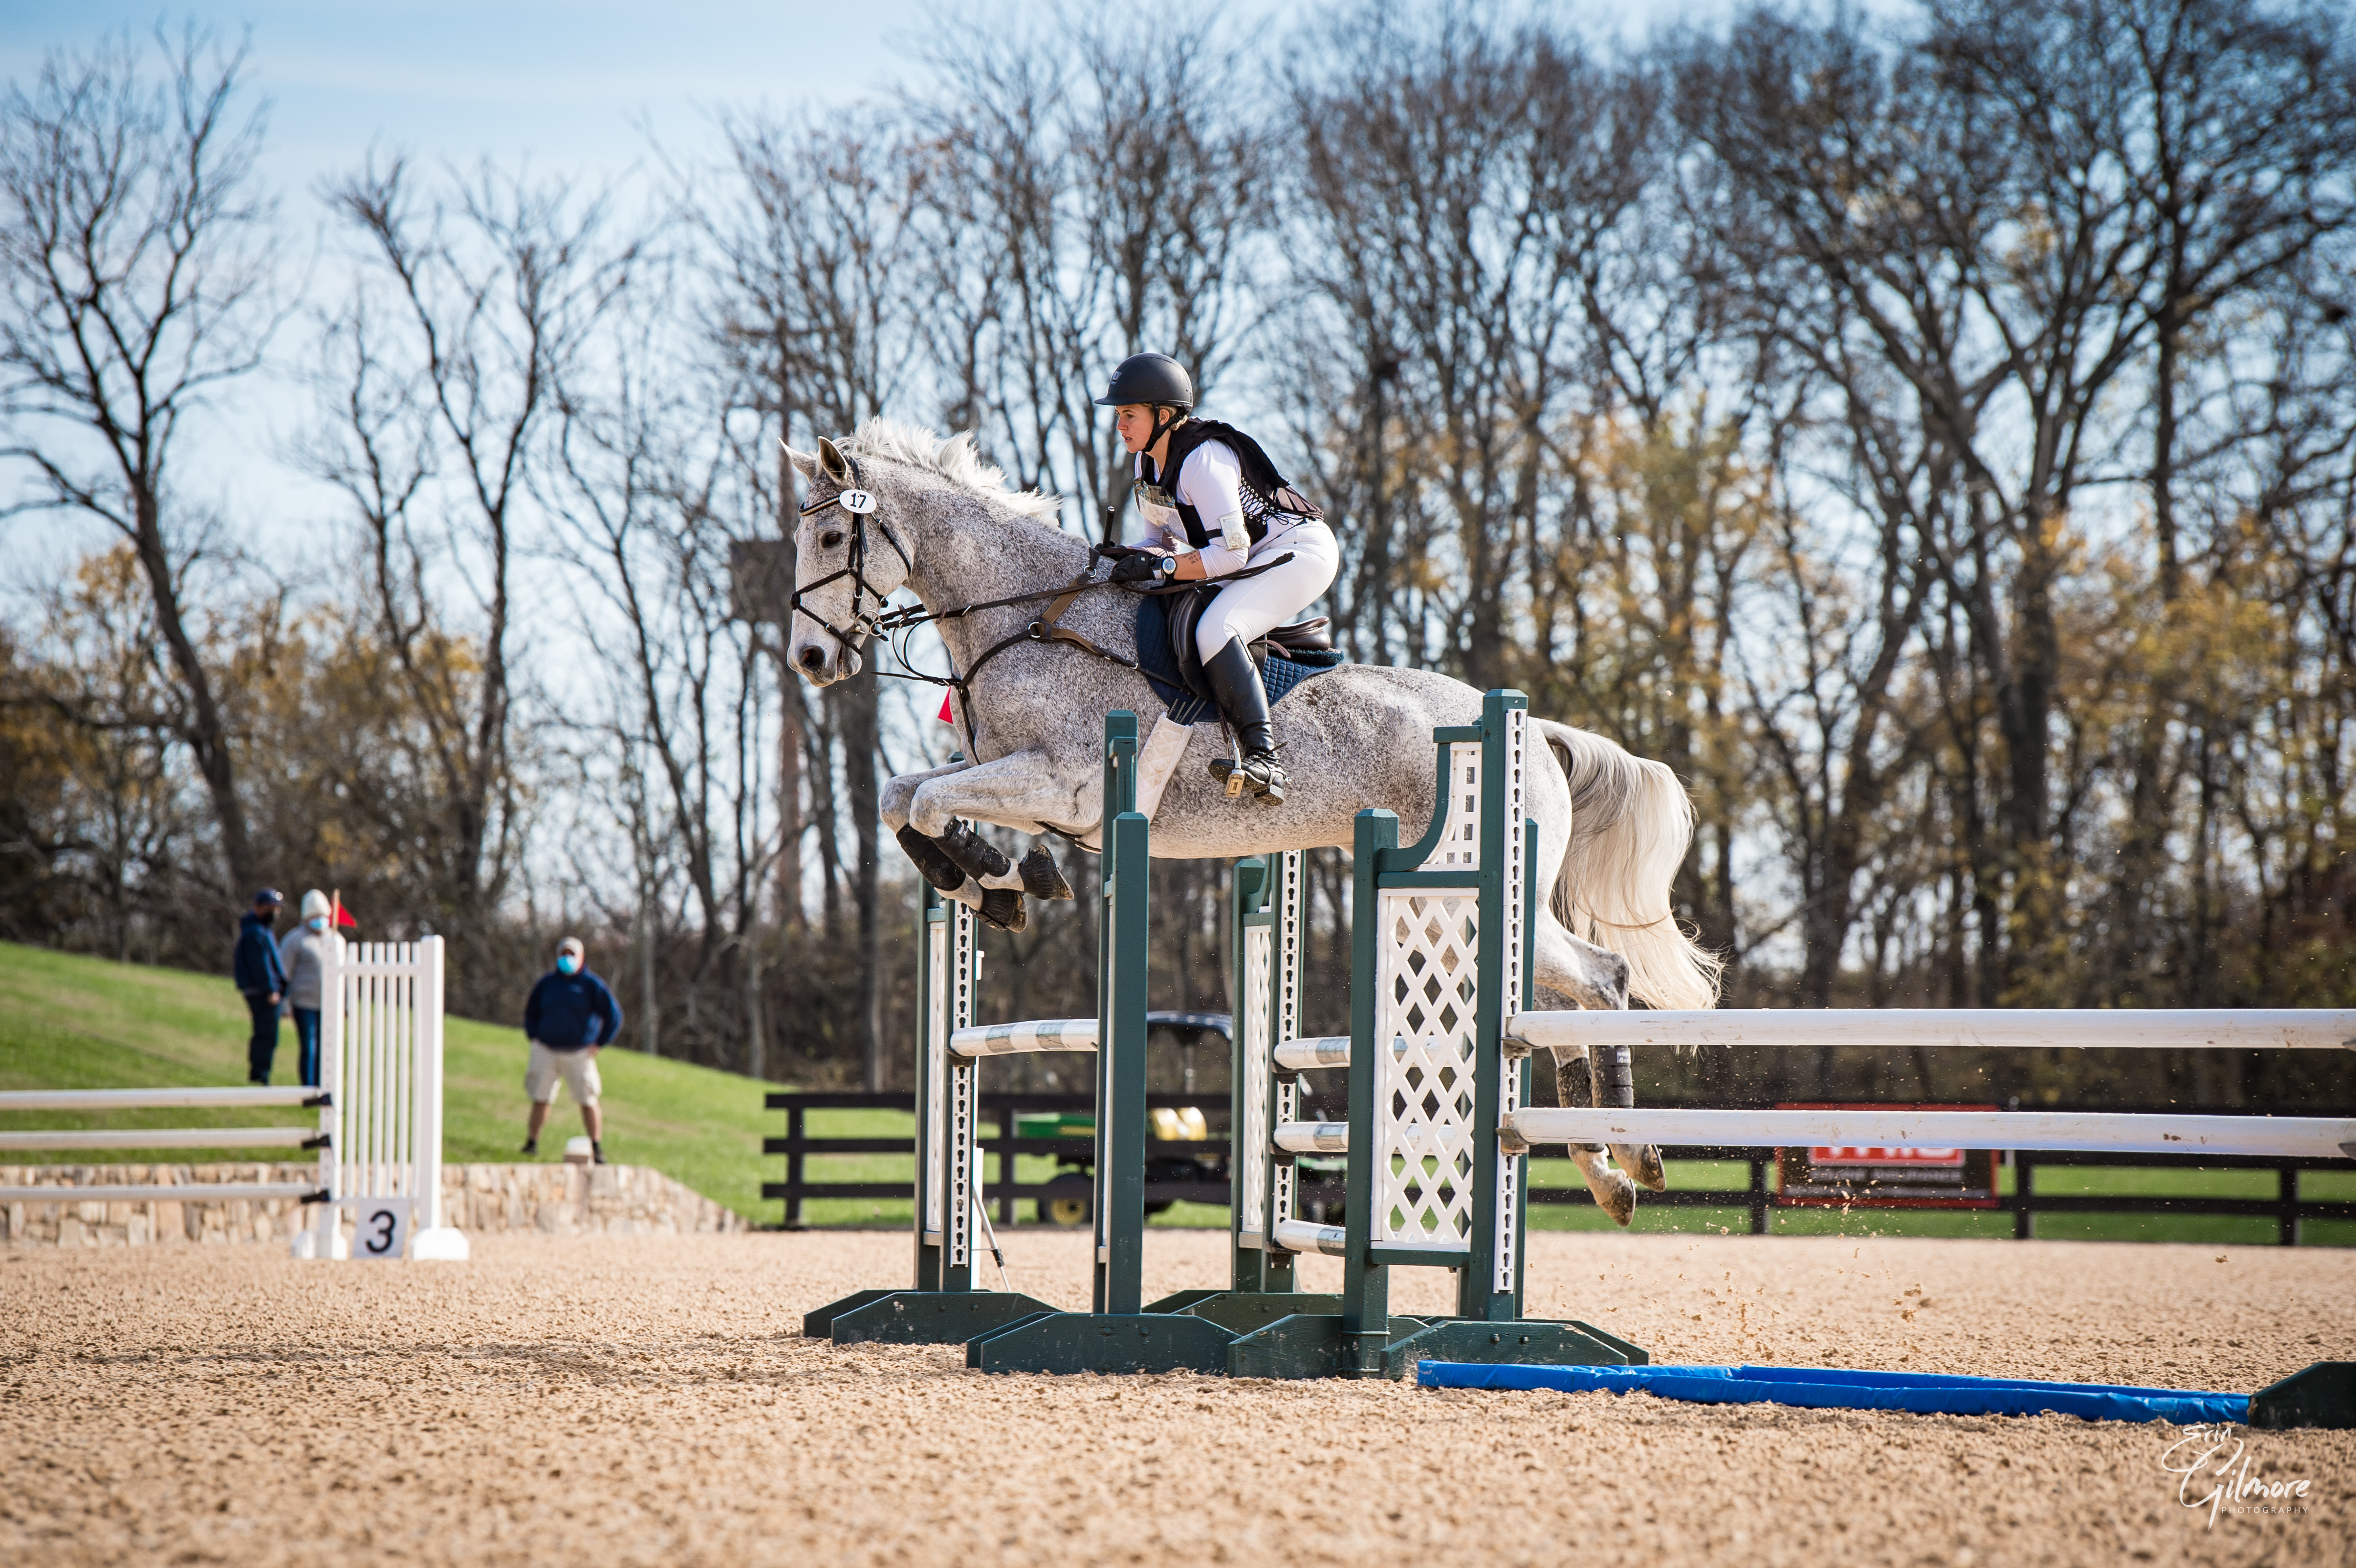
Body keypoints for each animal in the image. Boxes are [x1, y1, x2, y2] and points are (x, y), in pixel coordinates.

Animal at [782, 419, 1724, 1224]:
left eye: (830, 541)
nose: (812, 660)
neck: (1029, 616)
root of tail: (1531, 730)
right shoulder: (1004, 774)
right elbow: (903, 796)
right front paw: (995, 882)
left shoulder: (1062, 784)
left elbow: (926, 801)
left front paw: (997, 876)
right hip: (1453, 911)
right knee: (1553, 997)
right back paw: (1605, 1175)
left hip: (1457, 897)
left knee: (1599, 976)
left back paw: (1630, 1158)